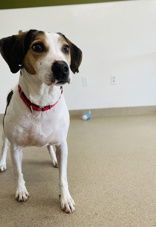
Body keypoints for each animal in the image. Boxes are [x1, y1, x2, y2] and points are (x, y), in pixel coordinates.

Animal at [0, 29, 82, 213]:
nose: (62, 67)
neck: (41, 103)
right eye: (37, 46)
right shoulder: (16, 147)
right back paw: (1, 163)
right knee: (4, 146)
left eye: (66, 48)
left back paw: (54, 159)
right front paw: (21, 190)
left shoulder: (62, 144)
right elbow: (18, 172)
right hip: (6, 134)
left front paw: (65, 198)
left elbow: (63, 178)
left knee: (49, 146)